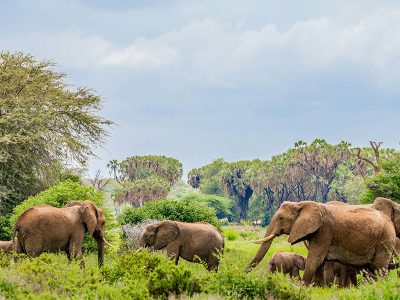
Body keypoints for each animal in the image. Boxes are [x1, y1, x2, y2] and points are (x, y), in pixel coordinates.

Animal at [247, 200, 396, 284]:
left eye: (281, 217)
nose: (244, 273)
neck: (301, 204)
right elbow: (320, 262)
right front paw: (318, 288)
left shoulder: (324, 231)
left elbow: (315, 259)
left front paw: (303, 287)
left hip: (384, 240)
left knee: (380, 268)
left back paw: (382, 287)